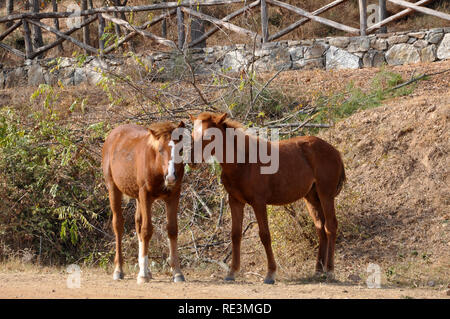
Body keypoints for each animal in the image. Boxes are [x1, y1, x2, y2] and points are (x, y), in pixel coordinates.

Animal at [101, 121, 185, 284]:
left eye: (181, 149)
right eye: (160, 150)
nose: (171, 177)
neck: (156, 165)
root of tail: (113, 134)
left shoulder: (173, 195)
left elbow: (172, 230)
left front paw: (177, 272)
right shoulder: (145, 195)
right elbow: (147, 230)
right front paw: (143, 275)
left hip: (138, 197)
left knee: (138, 223)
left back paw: (144, 268)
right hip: (114, 189)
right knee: (118, 225)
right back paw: (119, 270)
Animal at [188, 112, 346, 284]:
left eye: (209, 135)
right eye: (192, 134)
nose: (192, 161)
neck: (243, 162)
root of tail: (335, 151)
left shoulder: (258, 203)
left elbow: (264, 235)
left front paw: (270, 274)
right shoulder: (235, 201)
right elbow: (235, 235)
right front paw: (232, 272)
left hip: (326, 195)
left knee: (330, 226)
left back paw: (329, 270)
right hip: (311, 198)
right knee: (320, 228)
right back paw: (318, 270)